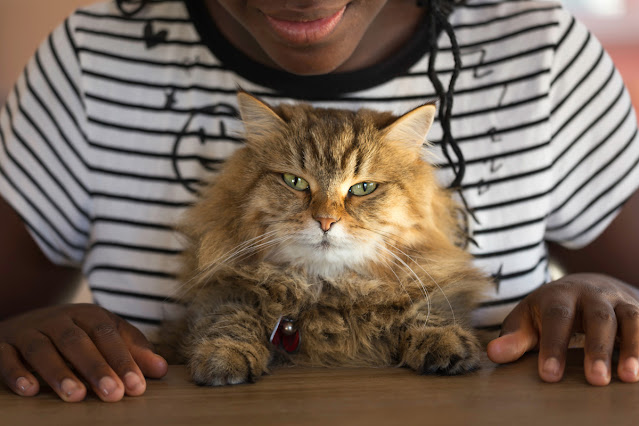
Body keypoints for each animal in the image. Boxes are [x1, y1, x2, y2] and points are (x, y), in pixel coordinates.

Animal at [169, 93, 490, 386]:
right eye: (295, 182)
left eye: (363, 188)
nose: (325, 221)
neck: (328, 288)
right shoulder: (221, 287)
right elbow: (229, 316)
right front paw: (224, 356)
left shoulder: (429, 279)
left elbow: (428, 309)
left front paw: (445, 342)